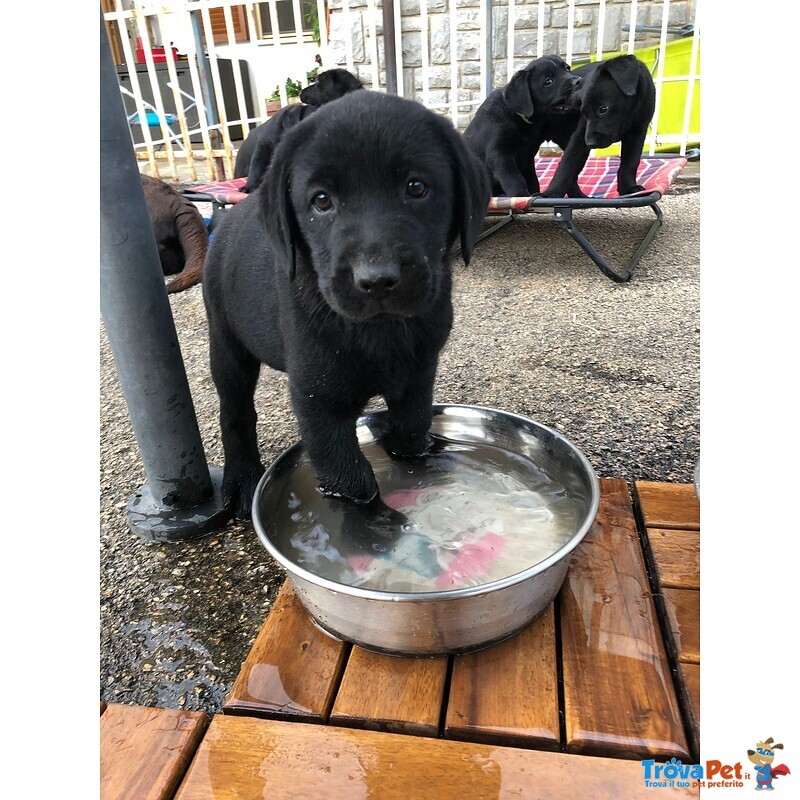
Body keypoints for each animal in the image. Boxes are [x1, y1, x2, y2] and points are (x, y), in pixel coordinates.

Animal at [203, 90, 490, 520]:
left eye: (416, 187)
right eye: (321, 200)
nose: (376, 280)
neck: (380, 330)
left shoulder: (419, 375)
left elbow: (412, 431)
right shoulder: (318, 400)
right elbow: (350, 478)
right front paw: (377, 521)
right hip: (226, 342)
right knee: (235, 411)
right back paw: (240, 479)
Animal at [462, 55, 580, 197]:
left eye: (567, 68)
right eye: (548, 81)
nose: (579, 81)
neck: (518, 116)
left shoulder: (528, 158)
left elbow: (532, 181)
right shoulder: (499, 153)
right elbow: (515, 178)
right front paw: (520, 195)